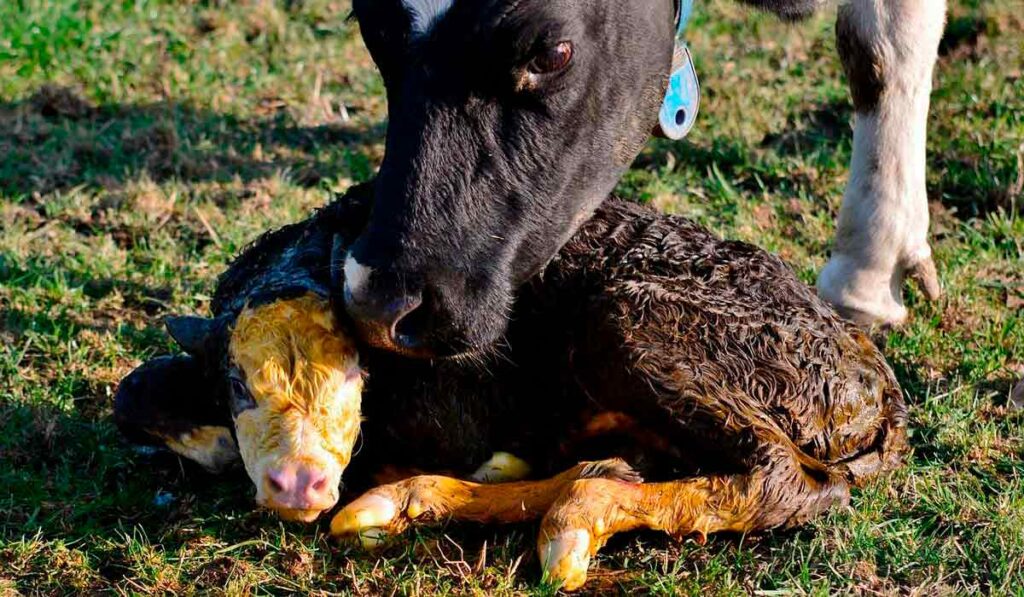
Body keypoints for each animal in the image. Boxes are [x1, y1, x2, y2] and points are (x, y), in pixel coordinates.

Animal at [116, 184, 909, 589]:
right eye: (237, 383)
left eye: (354, 375)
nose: (298, 483)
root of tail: (871, 372)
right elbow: (135, 388)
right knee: (619, 462)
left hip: (639, 322)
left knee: (785, 480)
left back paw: (570, 521)